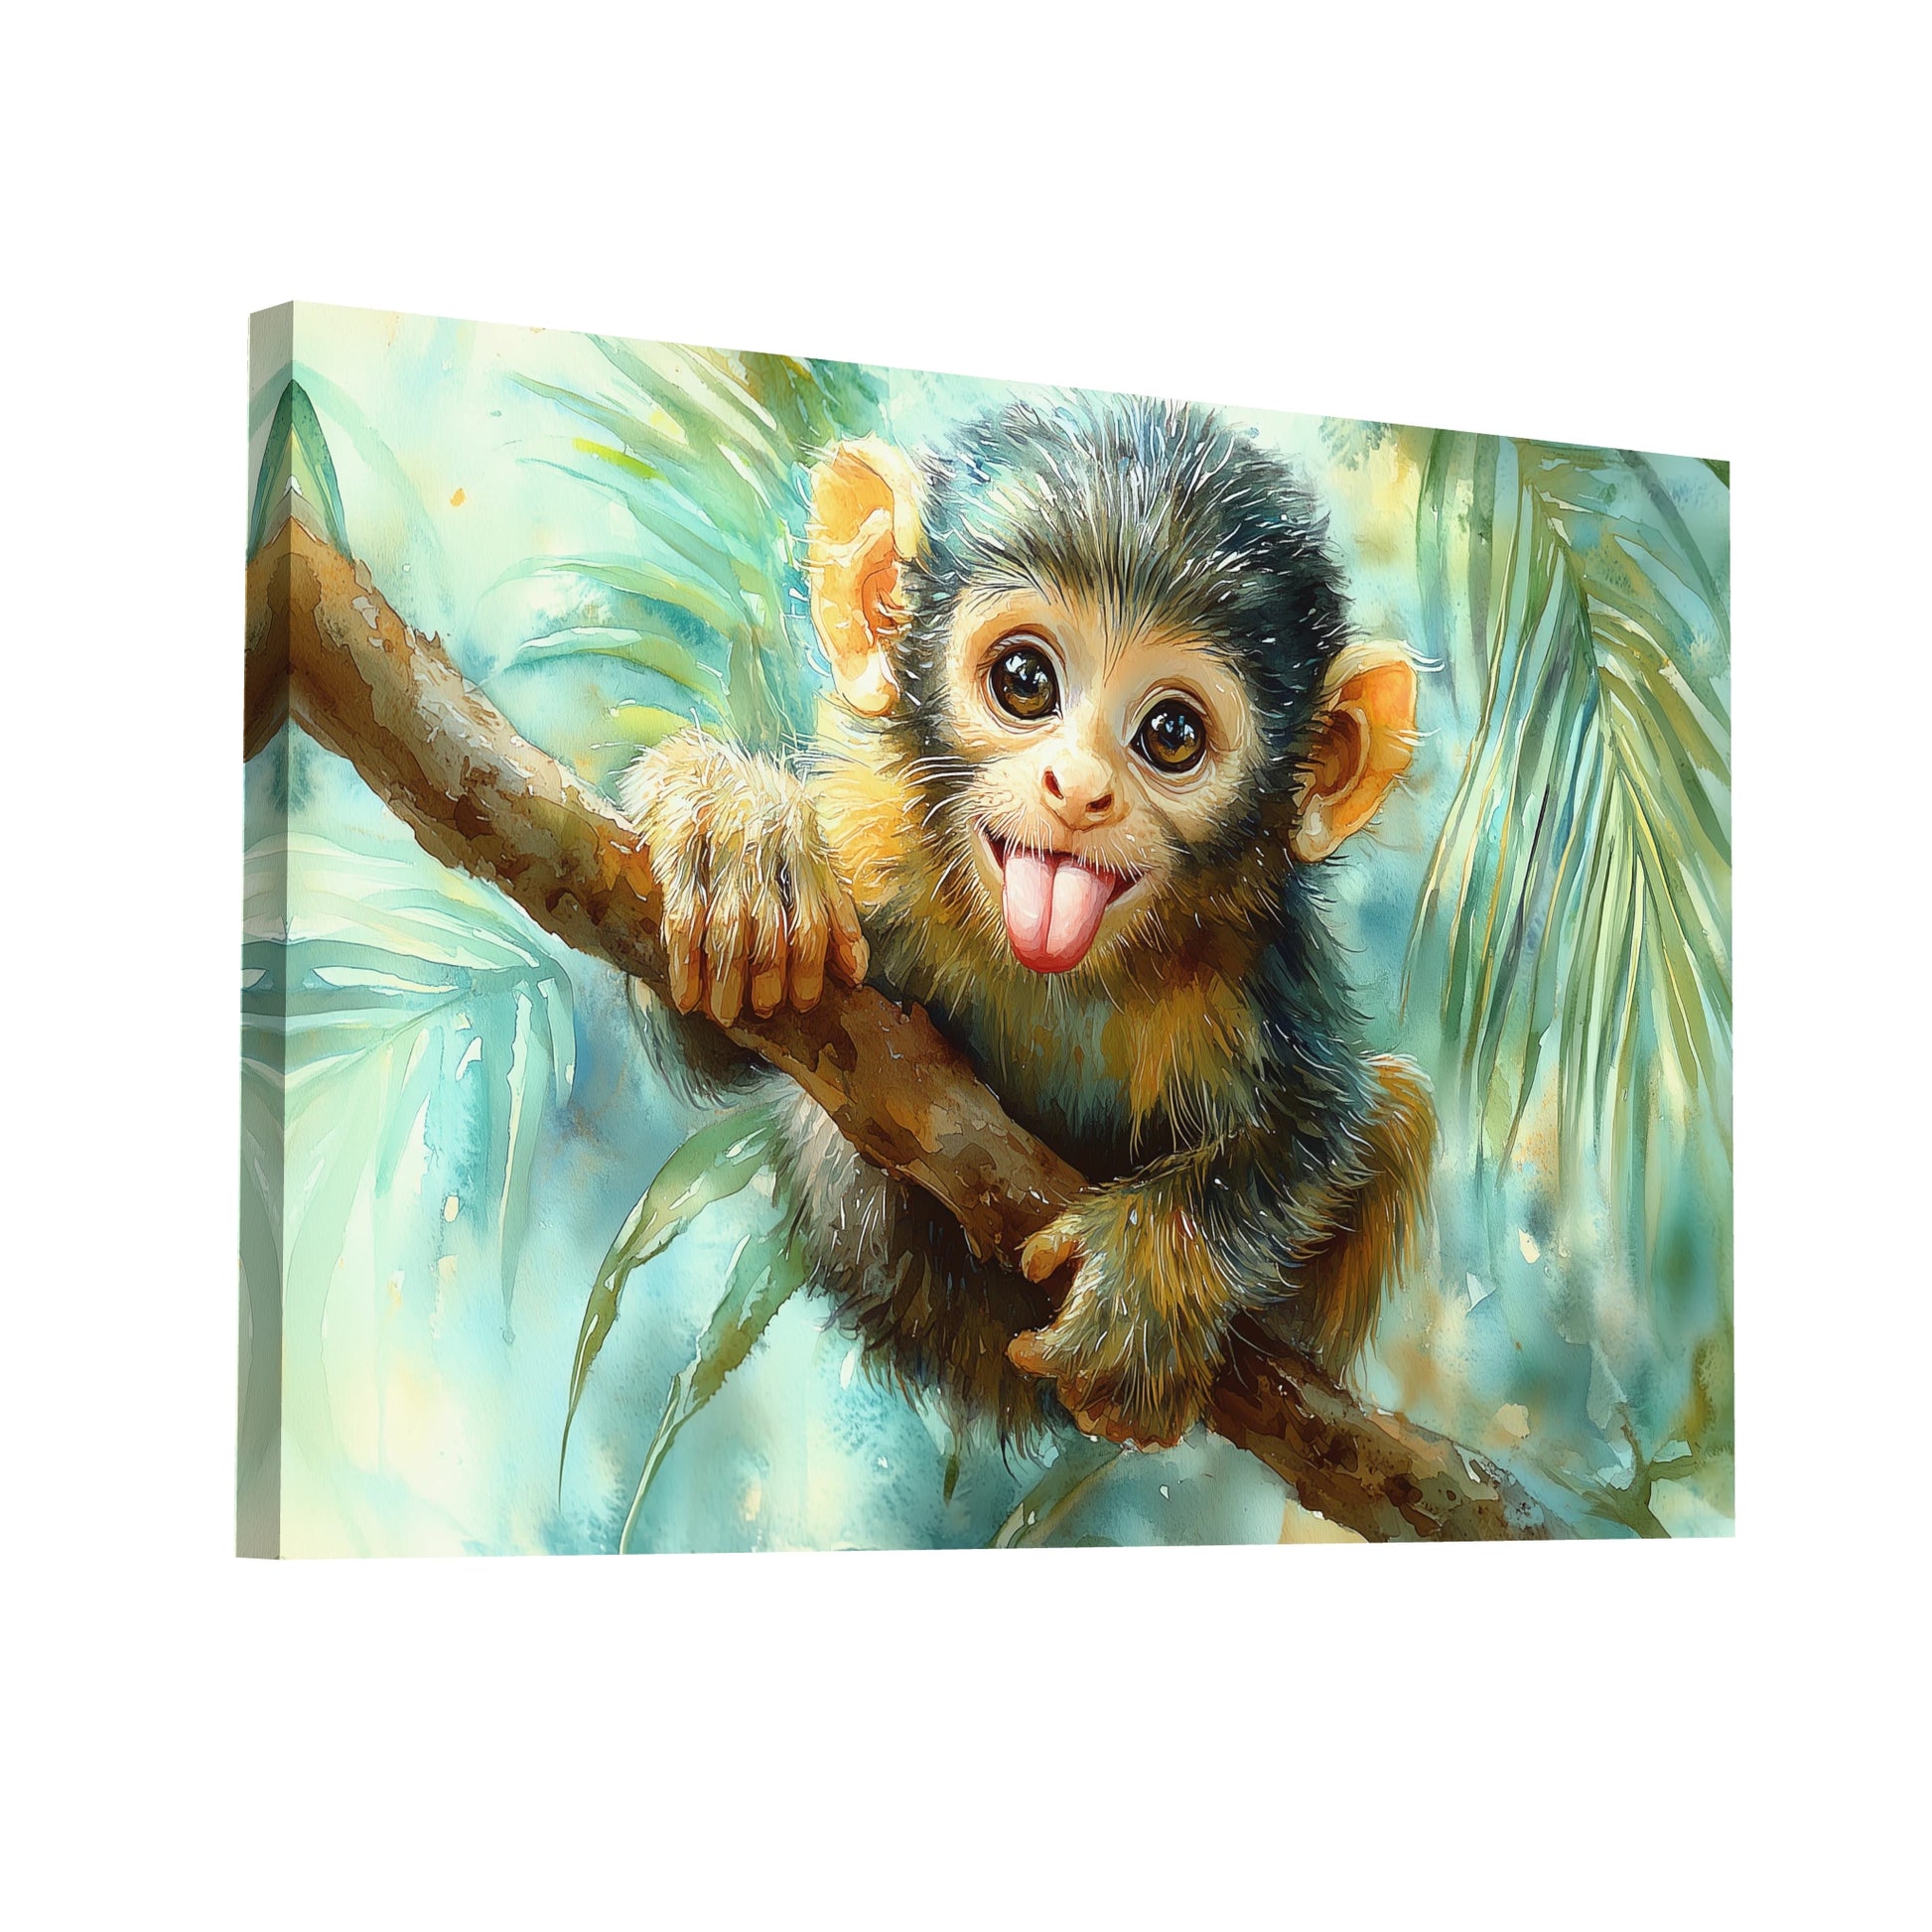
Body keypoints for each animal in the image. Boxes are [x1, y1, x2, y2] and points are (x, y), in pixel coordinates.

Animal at [617, 394, 1435, 1451]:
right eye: (1025, 681)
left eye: (1172, 735)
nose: (1079, 789)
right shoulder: (877, 840)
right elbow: (720, 1030)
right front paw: (735, 830)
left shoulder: (1261, 960)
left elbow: (1321, 1121)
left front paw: (1152, 1276)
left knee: (1402, 1109)